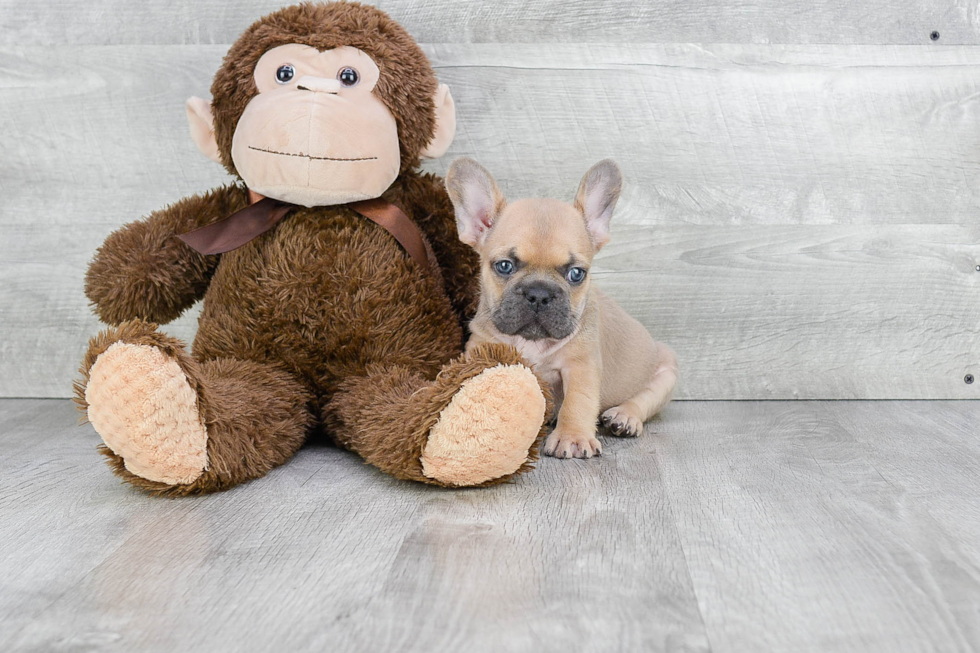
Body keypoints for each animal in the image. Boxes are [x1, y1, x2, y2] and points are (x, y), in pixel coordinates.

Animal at [448, 158, 676, 458]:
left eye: (576, 274)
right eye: (504, 266)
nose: (539, 294)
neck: (533, 342)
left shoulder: (581, 365)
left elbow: (578, 401)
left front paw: (573, 437)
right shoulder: (481, 346)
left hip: (667, 369)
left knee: (645, 399)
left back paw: (624, 417)